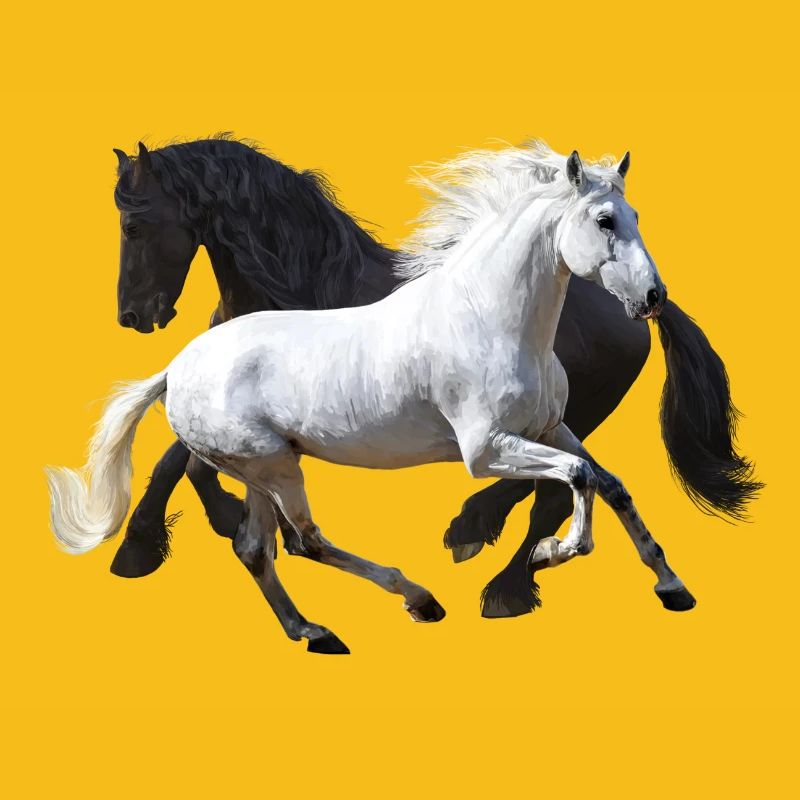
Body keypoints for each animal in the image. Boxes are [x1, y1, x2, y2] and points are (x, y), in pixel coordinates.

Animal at [49, 144, 739, 653]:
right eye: (604, 221)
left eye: (636, 217)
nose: (650, 297)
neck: (491, 316)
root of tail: (176, 367)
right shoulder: (485, 450)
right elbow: (578, 479)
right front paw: (555, 554)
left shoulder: (551, 428)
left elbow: (610, 484)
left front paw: (673, 586)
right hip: (271, 464)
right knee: (301, 541)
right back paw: (424, 599)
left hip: (261, 467)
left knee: (258, 546)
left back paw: (317, 629)